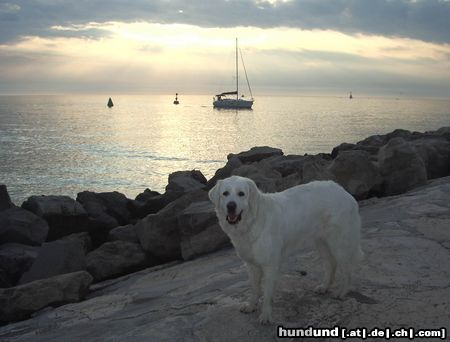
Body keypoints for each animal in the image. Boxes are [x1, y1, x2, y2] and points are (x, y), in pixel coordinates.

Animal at [209, 175, 364, 324]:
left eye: (241, 194)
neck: (252, 222)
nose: (231, 206)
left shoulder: (270, 265)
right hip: (322, 243)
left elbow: (266, 294)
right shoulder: (251, 265)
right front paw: (251, 306)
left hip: (340, 245)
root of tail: (343, 191)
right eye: (225, 194)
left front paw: (266, 316)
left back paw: (342, 292)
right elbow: (254, 289)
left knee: (347, 271)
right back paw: (324, 287)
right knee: (330, 264)